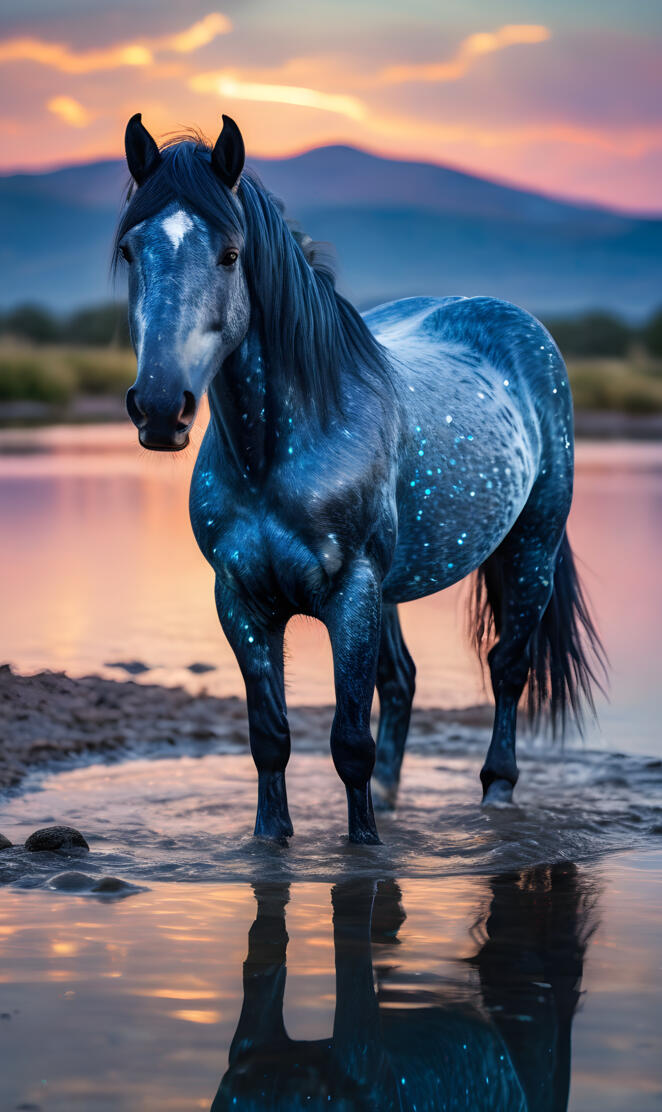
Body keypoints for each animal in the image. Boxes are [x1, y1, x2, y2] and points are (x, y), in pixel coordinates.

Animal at [116, 113, 605, 844]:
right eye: (129, 251)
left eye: (230, 254)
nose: (157, 406)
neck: (274, 454)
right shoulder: (242, 602)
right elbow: (271, 739)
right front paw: (273, 841)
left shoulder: (351, 594)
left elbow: (349, 743)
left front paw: (367, 848)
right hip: (396, 588)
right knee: (402, 680)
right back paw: (398, 797)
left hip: (530, 551)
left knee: (508, 668)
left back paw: (496, 791)